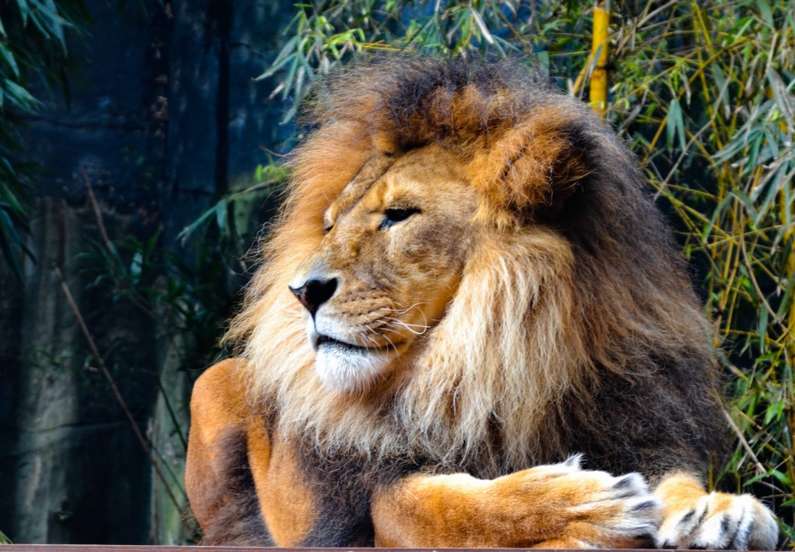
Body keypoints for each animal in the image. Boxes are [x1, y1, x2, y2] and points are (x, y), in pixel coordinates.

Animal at [184, 57, 779, 549]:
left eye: (399, 215)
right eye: (329, 225)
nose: (303, 291)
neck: (487, 369)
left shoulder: (635, 421)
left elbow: (677, 478)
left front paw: (717, 512)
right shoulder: (376, 501)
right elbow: (450, 506)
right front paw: (587, 503)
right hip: (213, 381)